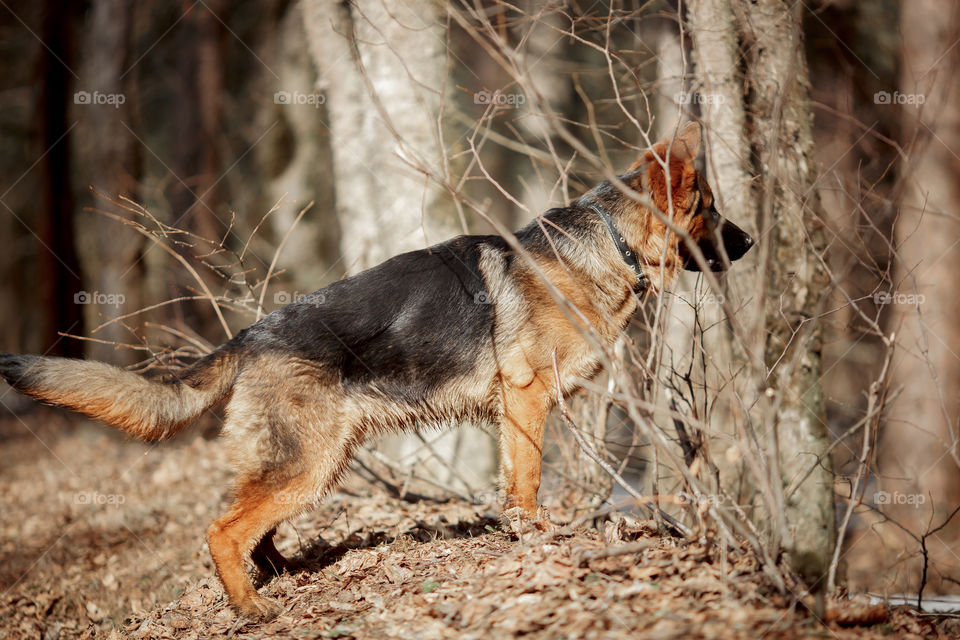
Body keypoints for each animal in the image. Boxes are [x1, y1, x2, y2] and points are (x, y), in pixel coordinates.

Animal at [0, 121, 752, 620]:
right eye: (712, 210)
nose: (748, 241)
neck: (608, 245)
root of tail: (252, 332)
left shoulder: (515, 410)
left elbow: (514, 479)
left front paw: (519, 530)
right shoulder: (528, 398)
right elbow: (530, 478)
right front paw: (536, 533)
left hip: (318, 461)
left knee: (256, 528)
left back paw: (285, 576)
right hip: (309, 463)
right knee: (223, 530)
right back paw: (251, 608)